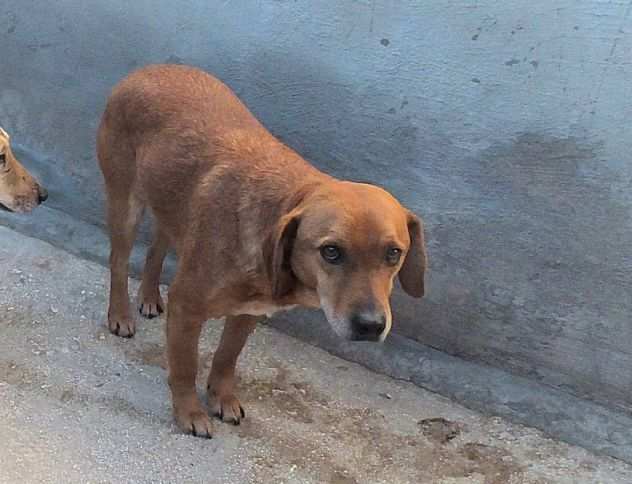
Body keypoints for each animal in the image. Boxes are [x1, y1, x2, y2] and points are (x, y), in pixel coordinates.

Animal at [96, 64, 428, 438]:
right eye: (331, 251)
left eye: (394, 253)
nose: (371, 326)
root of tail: (148, 68)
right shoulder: (186, 307)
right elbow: (185, 367)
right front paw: (189, 412)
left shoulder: (249, 313)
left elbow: (227, 357)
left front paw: (221, 397)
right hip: (126, 205)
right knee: (119, 261)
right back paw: (120, 314)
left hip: (170, 204)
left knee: (157, 248)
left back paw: (150, 296)